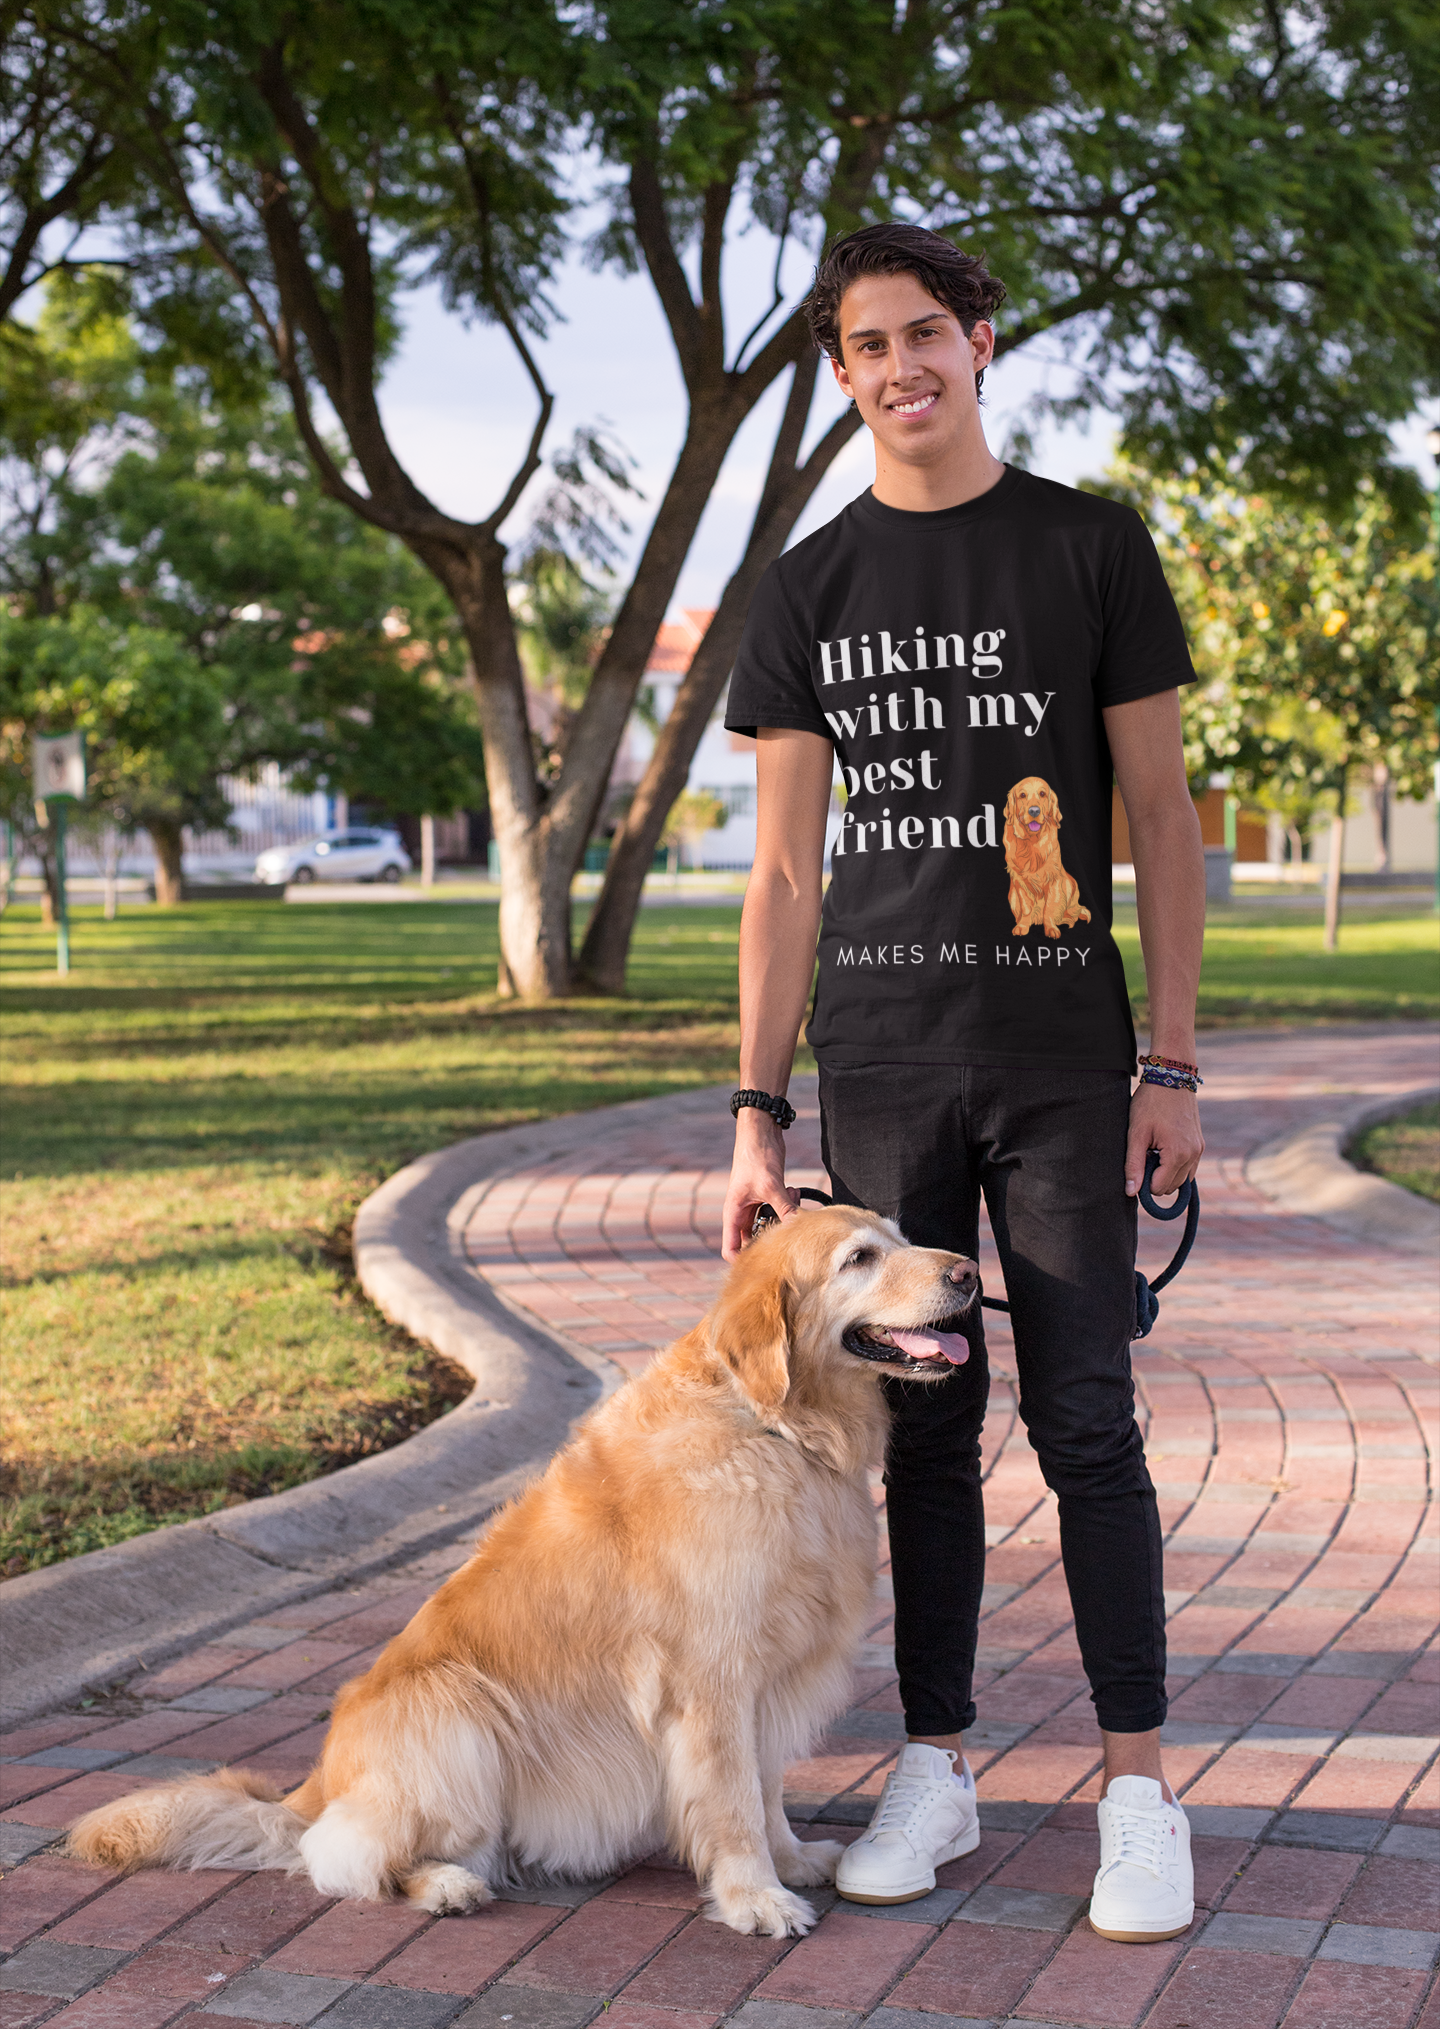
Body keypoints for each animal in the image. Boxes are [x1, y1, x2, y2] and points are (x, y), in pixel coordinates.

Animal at [76, 1209, 981, 1939]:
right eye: (860, 1257)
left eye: (900, 1235)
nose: (971, 1272)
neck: (777, 1429)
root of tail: (315, 1782)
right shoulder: (711, 1680)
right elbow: (732, 1805)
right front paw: (755, 1897)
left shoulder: (764, 1679)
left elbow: (766, 1790)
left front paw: (791, 1861)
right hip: (456, 1707)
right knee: (348, 1857)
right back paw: (445, 1884)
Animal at [1005, 771, 1095, 937]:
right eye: (1022, 795)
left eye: (1042, 793)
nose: (1034, 811)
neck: (1032, 843)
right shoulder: (1019, 881)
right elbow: (1026, 907)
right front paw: (1022, 926)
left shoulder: (1054, 878)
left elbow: (1049, 908)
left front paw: (1051, 928)